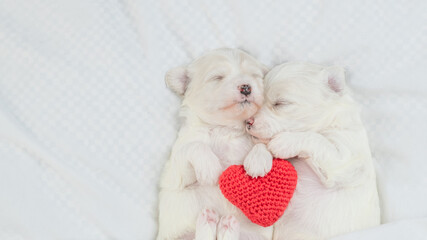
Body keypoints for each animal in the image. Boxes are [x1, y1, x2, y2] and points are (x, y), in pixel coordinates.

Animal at [158, 48, 274, 240]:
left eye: (255, 76)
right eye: (217, 77)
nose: (246, 87)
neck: (225, 129)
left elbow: (262, 143)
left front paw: (258, 160)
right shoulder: (177, 174)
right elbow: (195, 146)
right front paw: (210, 168)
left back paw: (225, 225)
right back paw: (210, 221)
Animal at [246, 62, 382, 239]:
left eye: (281, 103)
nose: (247, 122)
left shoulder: (346, 158)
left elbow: (316, 139)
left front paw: (282, 142)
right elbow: (262, 142)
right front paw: (257, 159)